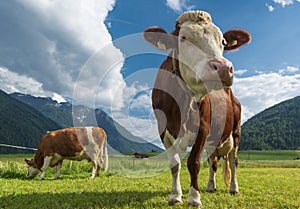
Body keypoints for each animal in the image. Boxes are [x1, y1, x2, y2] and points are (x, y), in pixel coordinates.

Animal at [143, 11, 251, 207]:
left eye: (223, 41)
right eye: (183, 38)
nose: (223, 68)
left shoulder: (203, 127)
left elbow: (193, 163)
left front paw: (194, 198)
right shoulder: (163, 130)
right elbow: (175, 164)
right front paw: (175, 196)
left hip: (236, 132)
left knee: (233, 161)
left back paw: (233, 188)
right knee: (213, 161)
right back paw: (210, 186)